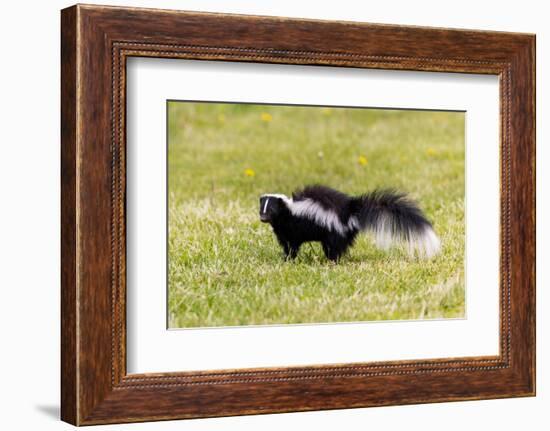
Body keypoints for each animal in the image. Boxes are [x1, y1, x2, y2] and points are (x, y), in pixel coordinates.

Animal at [260, 185, 444, 262]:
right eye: (261, 209)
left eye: (271, 210)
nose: (262, 218)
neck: (288, 210)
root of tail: (350, 211)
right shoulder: (283, 230)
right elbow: (286, 244)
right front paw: (285, 257)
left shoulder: (293, 228)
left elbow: (292, 245)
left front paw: (288, 259)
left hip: (334, 230)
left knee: (334, 248)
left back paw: (331, 261)